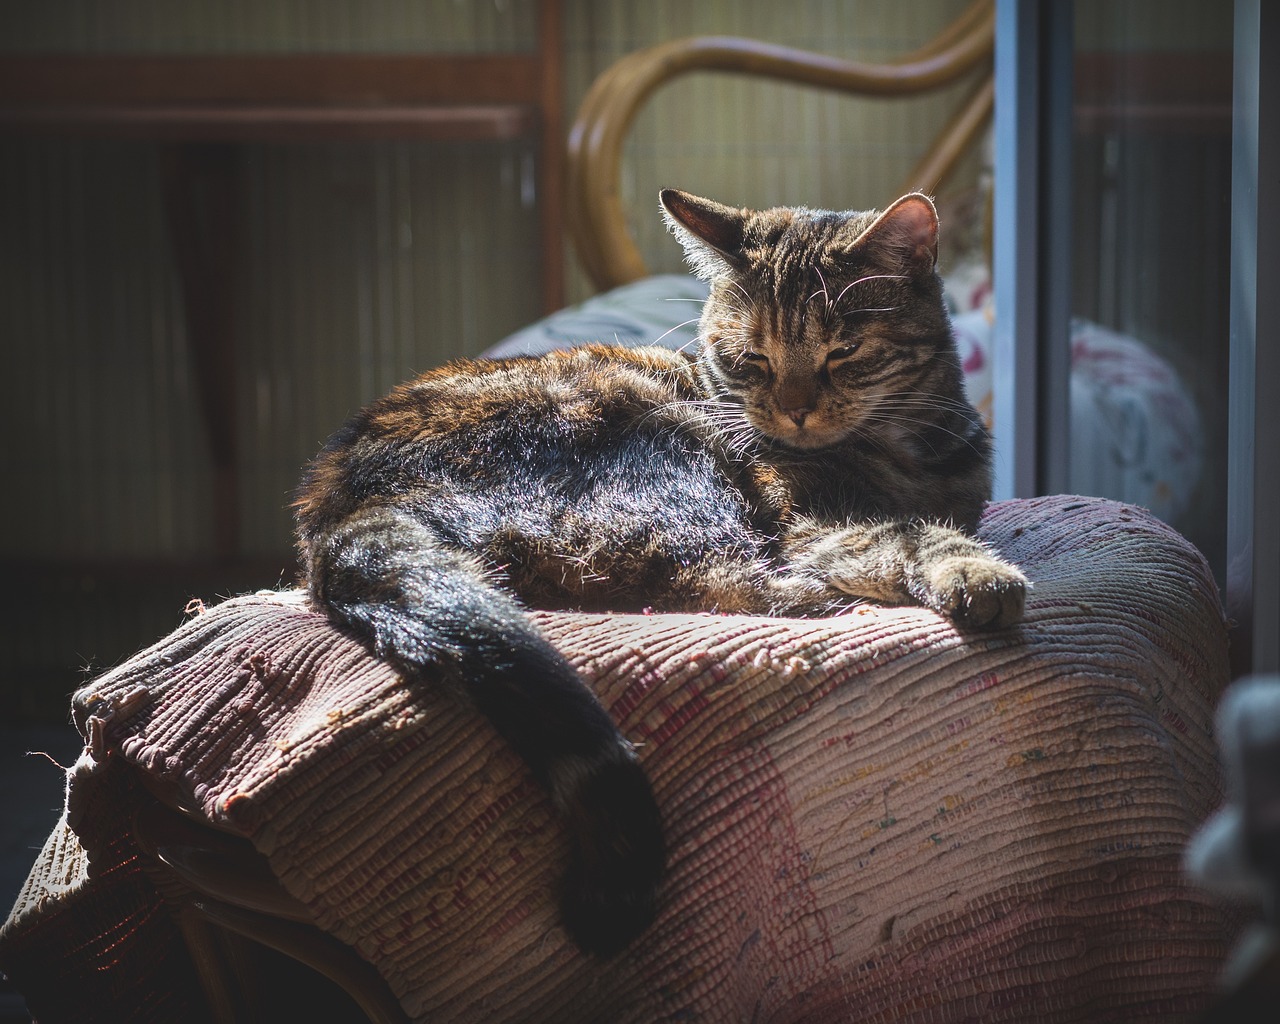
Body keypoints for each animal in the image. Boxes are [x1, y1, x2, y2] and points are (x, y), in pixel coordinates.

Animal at [293, 188, 1029, 957]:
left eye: (844, 352)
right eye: (751, 359)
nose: (793, 412)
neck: (910, 449)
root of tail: (338, 504)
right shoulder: (811, 524)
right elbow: (905, 535)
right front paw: (975, 572)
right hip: (664, 450)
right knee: (719, 579)